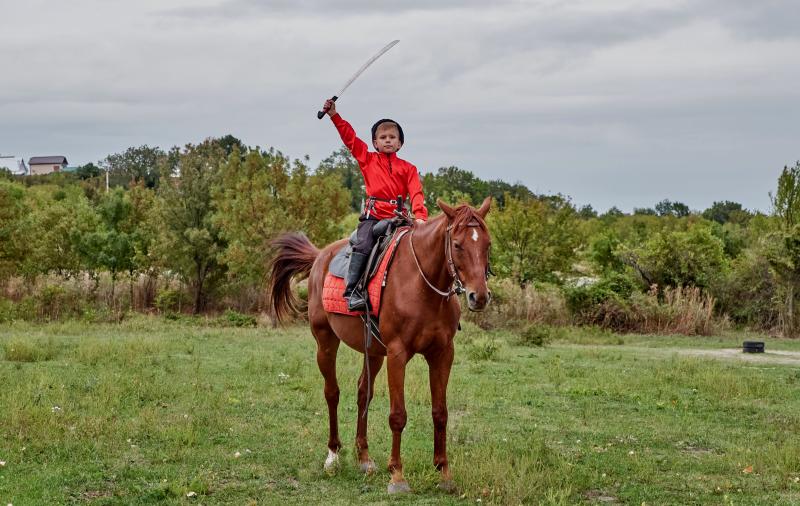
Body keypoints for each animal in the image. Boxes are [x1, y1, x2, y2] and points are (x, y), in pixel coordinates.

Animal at [272, 198, 490, 494]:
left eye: (487, 244)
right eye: (457, 245)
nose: (479, 297)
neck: (422, 285)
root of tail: (320, 257)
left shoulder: (443, 354)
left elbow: (440, 413)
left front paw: (444, 473)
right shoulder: (397, 354)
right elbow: (398, 415)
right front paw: (397, 476)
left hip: (373, 352)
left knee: (363, 392)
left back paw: (364, 458)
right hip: (325, 342)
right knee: (332, 393)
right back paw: (333, 456)